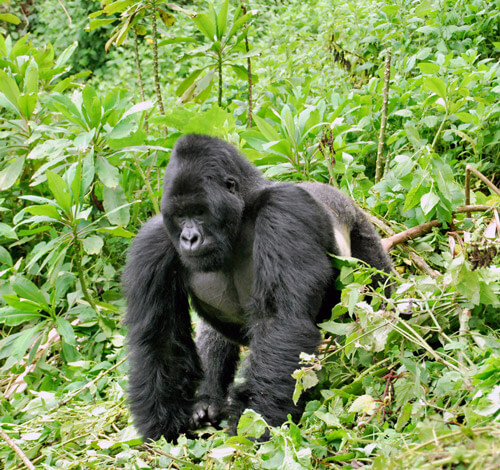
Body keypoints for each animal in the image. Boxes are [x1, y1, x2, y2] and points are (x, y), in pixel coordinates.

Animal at [123, 134, 392, 442]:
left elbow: (280, 322)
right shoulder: (153, 241)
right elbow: (161, 341)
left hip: (359, 226)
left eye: (200, 212)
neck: (241, 214)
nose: (189, 238)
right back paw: (208, 399)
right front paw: (163, 430)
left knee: (375, 288)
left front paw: (258, 425)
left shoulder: (283, 210)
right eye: (180, 216)